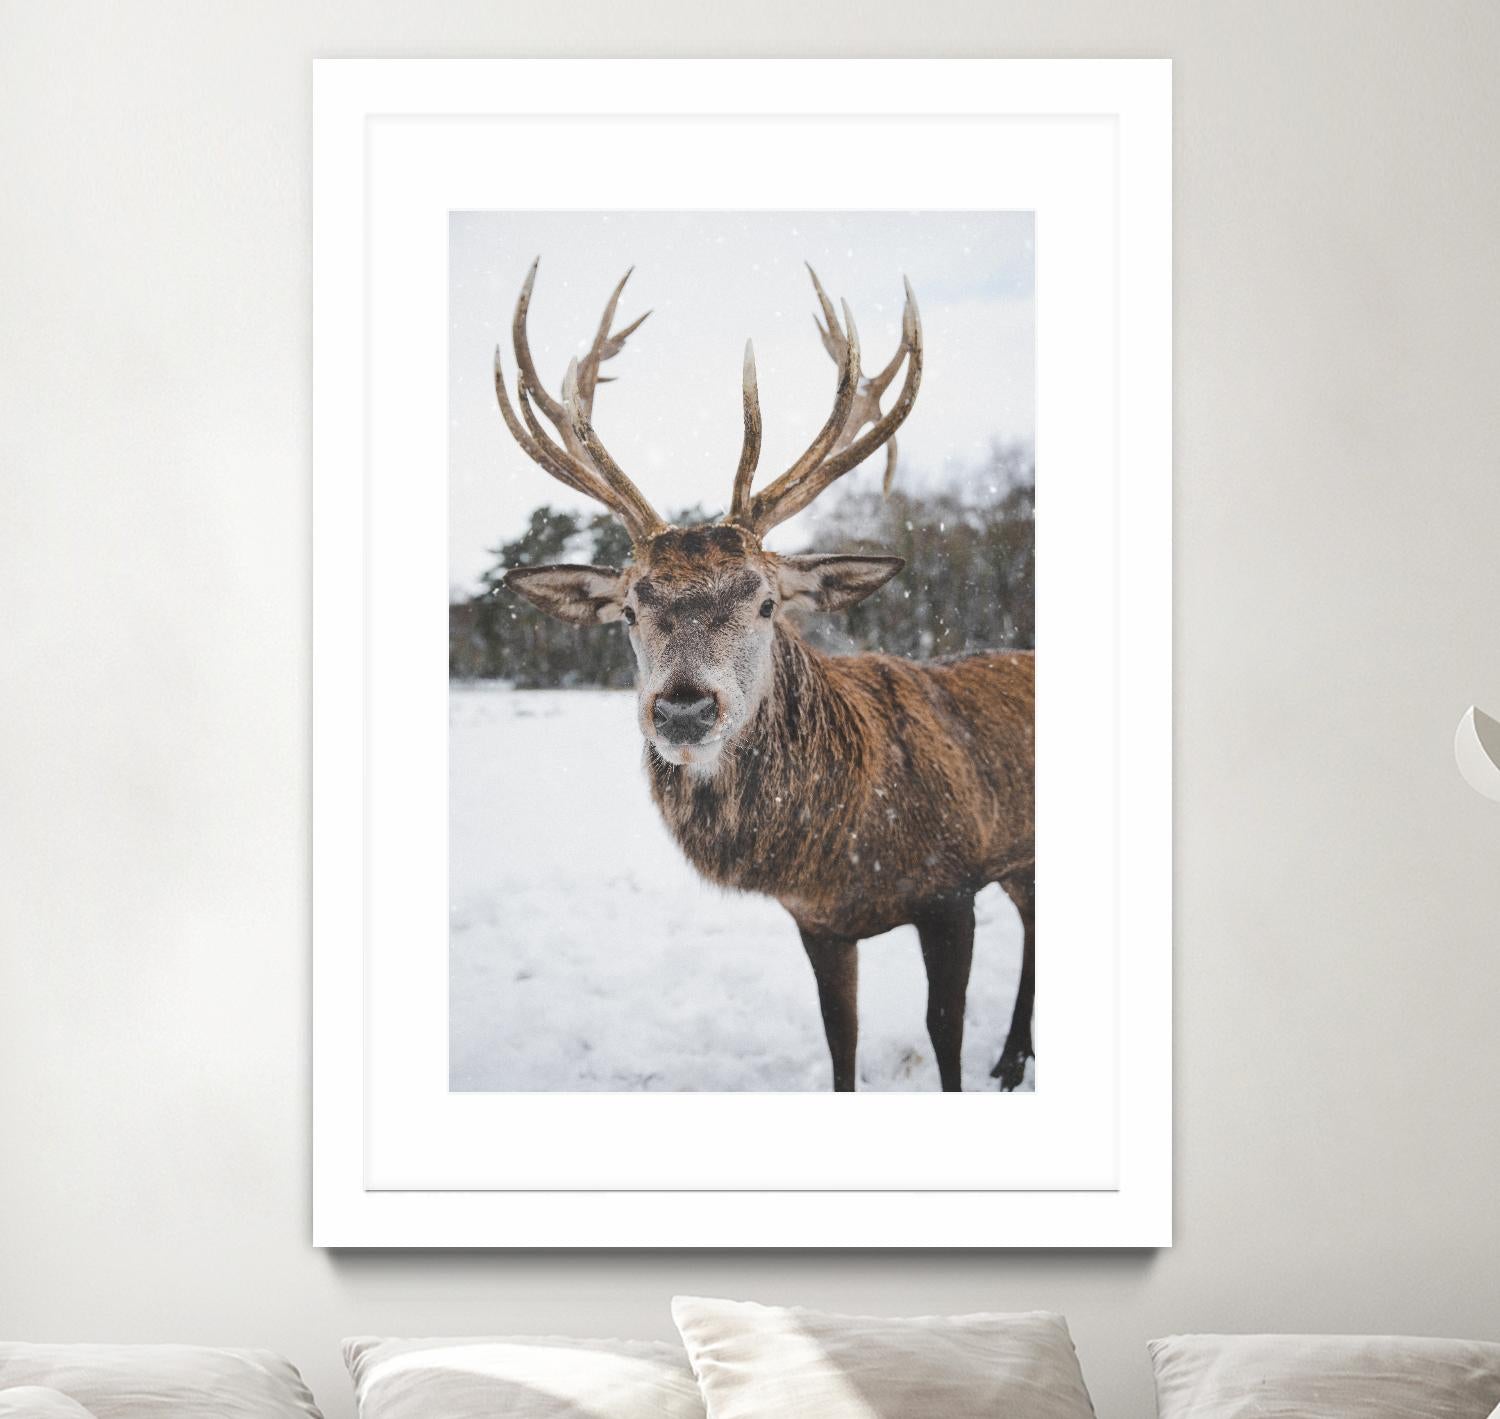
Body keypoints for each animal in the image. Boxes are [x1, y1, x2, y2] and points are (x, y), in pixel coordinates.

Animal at [494, 259, 1035, 1092]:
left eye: (767, 600)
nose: (684, 709)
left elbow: (944, 1037)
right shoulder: (816, 921)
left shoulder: (953, 885)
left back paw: (1008, 1060)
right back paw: (1012, 1055)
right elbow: (840, 1040)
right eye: (629, 609)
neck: (846, 850)